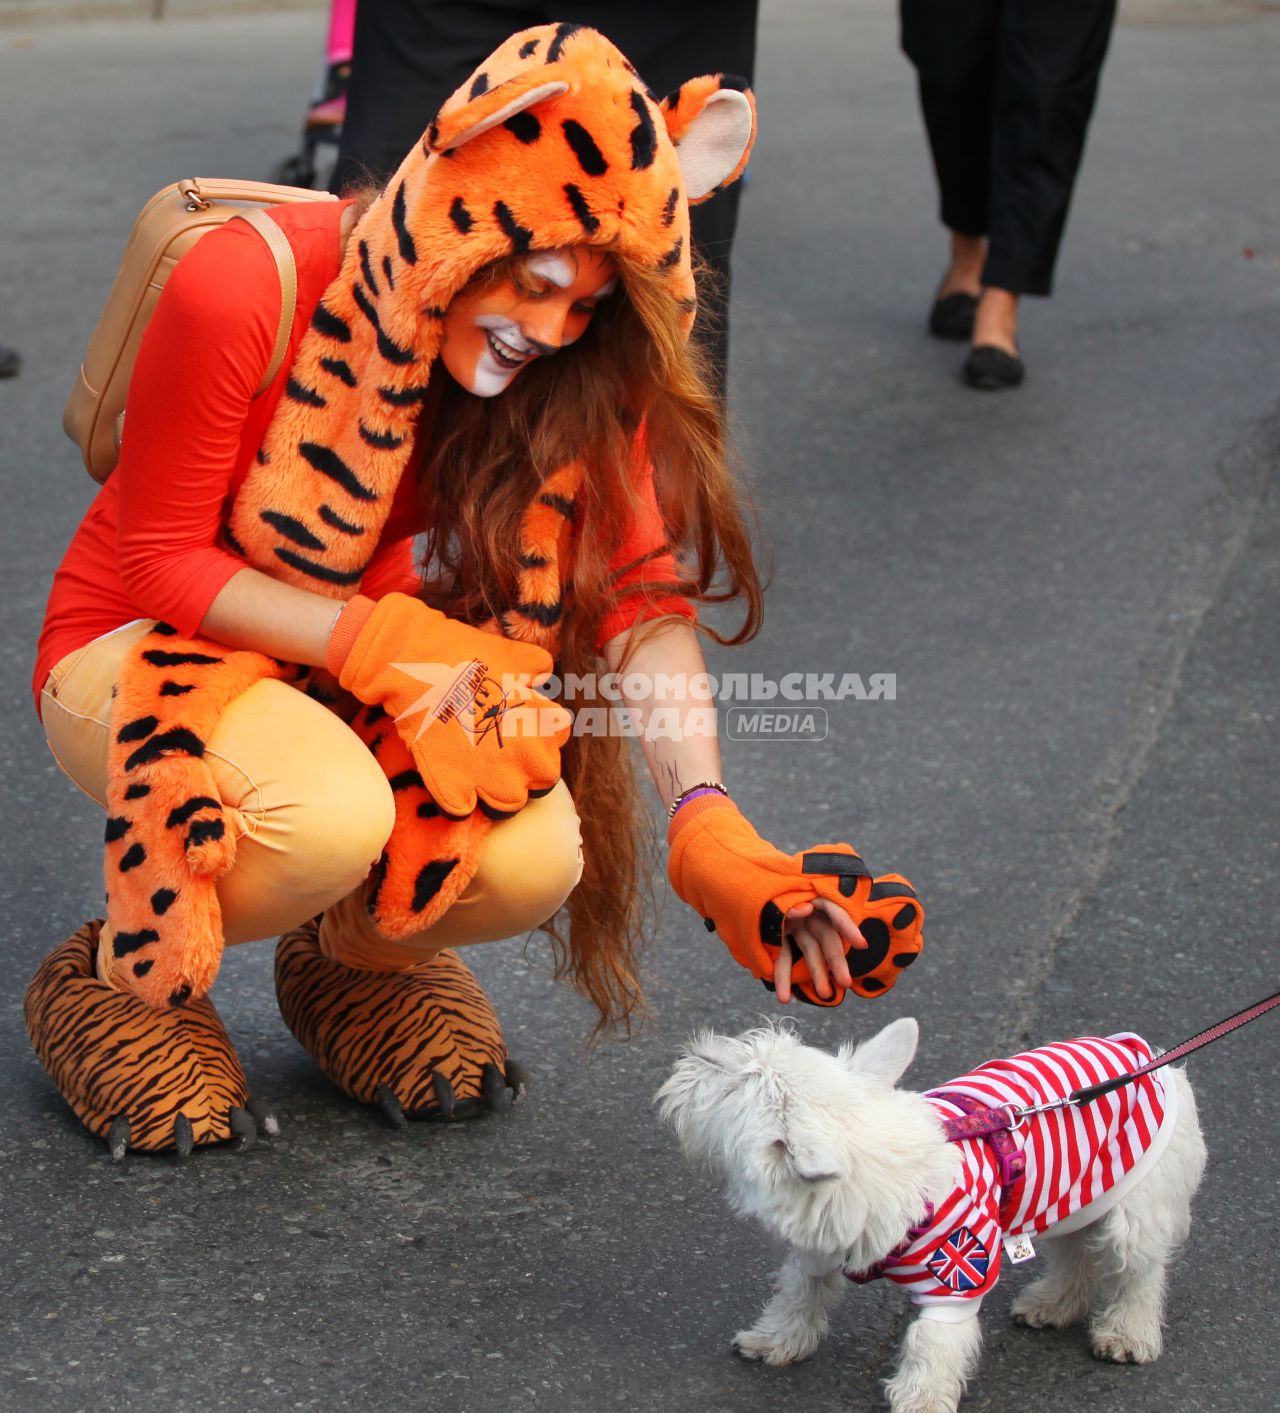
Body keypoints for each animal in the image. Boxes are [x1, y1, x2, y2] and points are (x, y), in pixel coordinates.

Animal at [658, 1017, 1209, 1413]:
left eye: (737, 1084)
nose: (698, 1049)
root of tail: (1152, 1057)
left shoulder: (956, 1278)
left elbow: (931, 1343)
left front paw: (920, 1399)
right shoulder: (817, 1248)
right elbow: (798, 1294)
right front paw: (777, 1341)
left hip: (1134, 1209)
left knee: (1137, 1272)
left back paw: (1127, 1333)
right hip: (1075, 1193)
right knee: (1076, 1254)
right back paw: (1053, 1304)